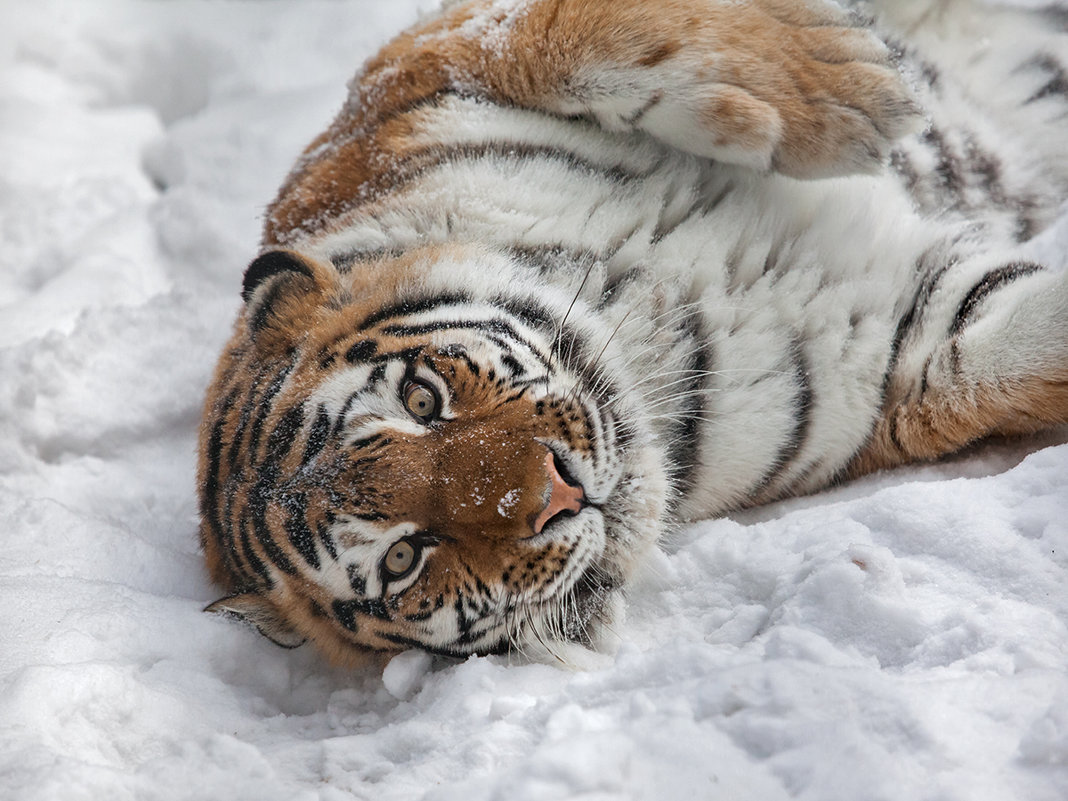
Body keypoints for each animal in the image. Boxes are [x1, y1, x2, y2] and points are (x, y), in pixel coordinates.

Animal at [196, 0, 1068, 666]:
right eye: (404, 558)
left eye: (420, 397)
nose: (554, 493)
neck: (642, 316)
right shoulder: (902, 350)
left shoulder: (420, 71)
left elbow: (578, 35)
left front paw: (853, 79)